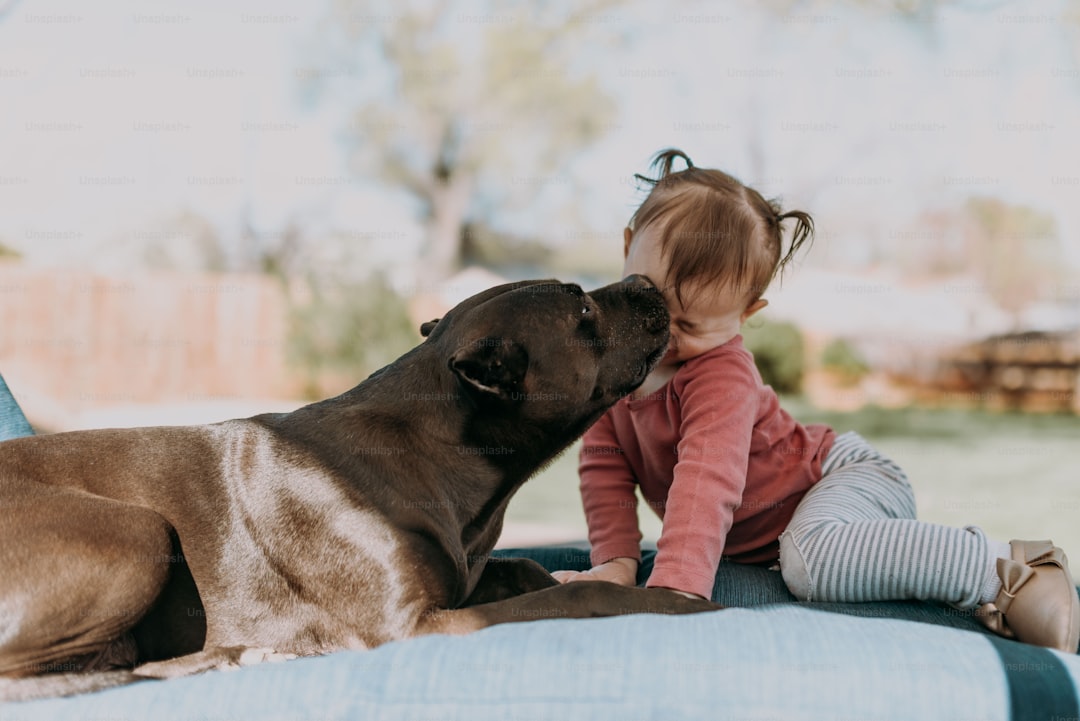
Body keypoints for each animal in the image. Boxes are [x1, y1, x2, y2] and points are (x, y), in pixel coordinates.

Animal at [4, 276, 721, 699]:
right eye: (583, 309)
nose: (646, 280)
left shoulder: (463, 581)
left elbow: (528, 571)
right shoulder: (416, 626)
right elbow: (572, 597)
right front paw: (671, 603)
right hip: (137, 529)